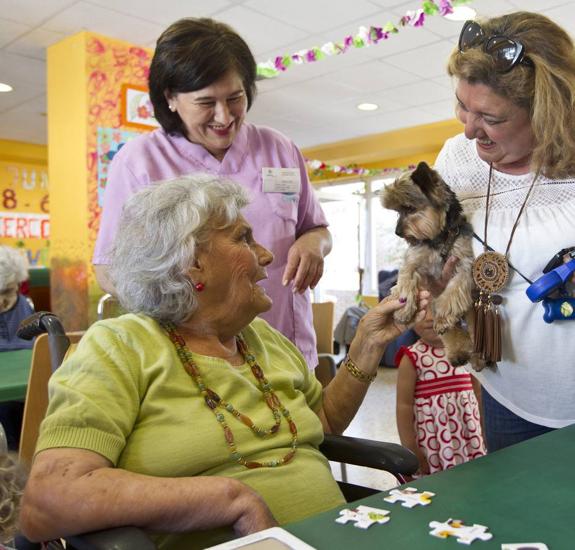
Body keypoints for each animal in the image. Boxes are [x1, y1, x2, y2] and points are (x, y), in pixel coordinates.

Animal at [382, 162, 476, 368]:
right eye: (398, 211)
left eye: (409, 208)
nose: (397, 232)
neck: (438, 238)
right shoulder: (413, 260)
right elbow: (406, 280)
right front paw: (404, 309)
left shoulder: (464, 264)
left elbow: (453, 292)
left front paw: (442, 318)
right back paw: (458, 354)